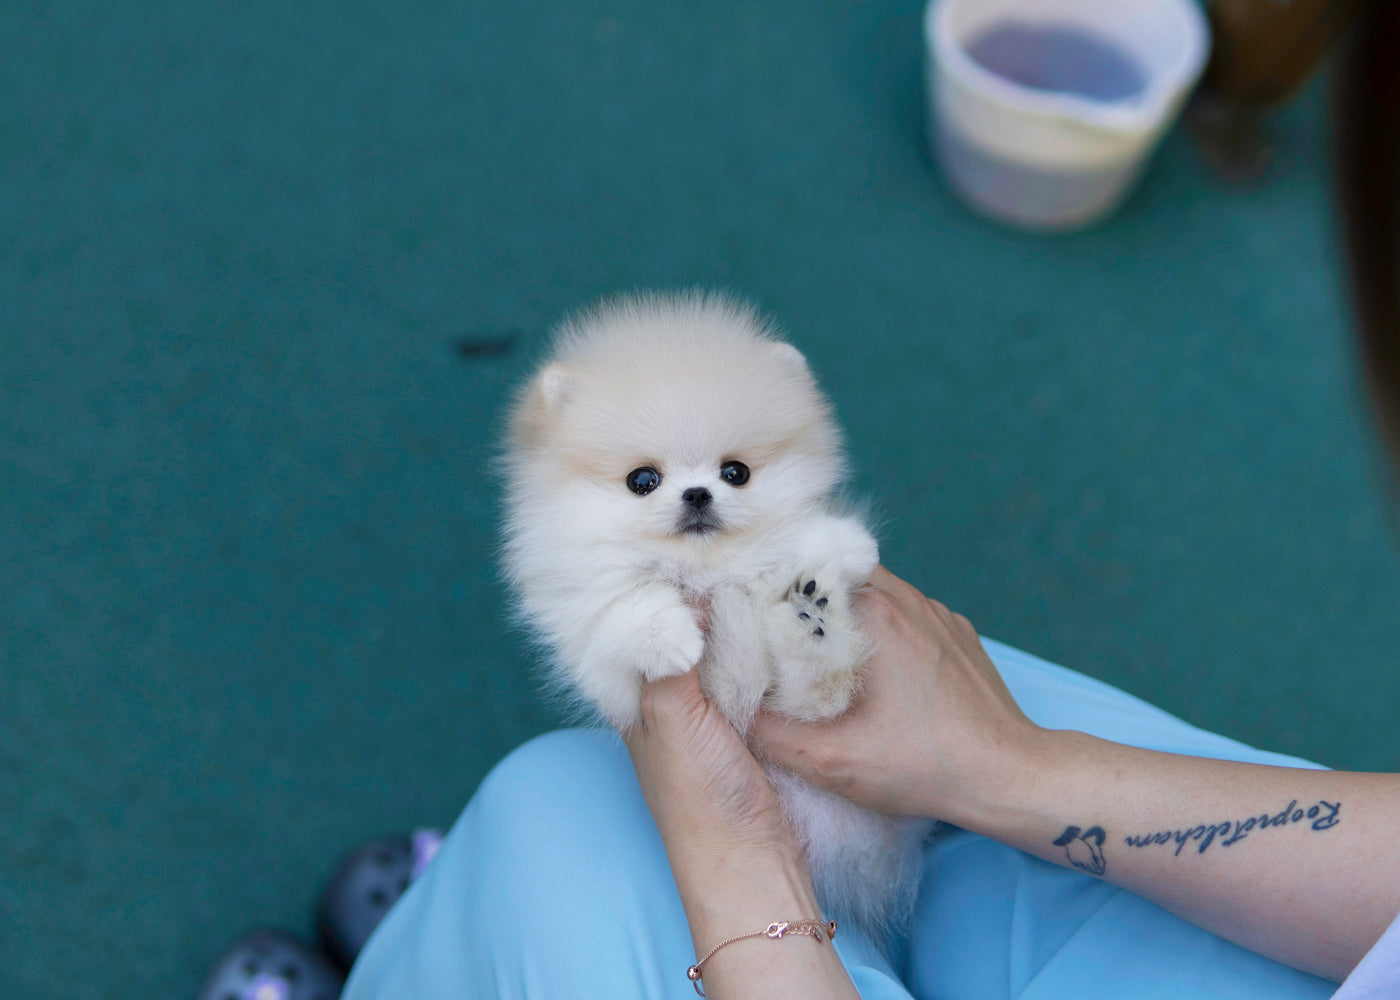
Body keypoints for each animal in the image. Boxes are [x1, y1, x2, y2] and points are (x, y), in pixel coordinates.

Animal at [501, 292, 929, 929]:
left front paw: (846, 548)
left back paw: (814, 623)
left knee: (824, 698)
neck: (704, 570)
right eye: (643, 480)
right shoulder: (587, 627)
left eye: (736, 472)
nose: (698, 493)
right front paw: (674, 639)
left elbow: (796, 543)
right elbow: (624, 607)